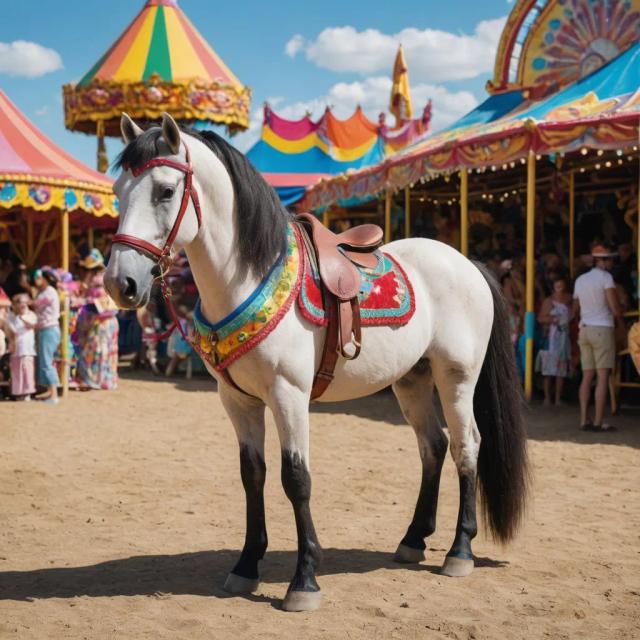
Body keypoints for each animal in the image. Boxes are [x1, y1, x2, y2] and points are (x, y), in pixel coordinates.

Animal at [105, 112, 529, 612]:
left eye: (166, 191)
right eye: (118, 190)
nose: (120, 283)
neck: (248, 276)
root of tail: (468, 264)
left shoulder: (289, 394)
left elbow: (296, 478)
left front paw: (303, 580)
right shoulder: (237, 400)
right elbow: (253, 476)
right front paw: (245, 566)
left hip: (456, 378)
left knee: (467, 447)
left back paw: (459, 551)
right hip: (412, 380)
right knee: (434, 447)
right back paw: (412, 540)